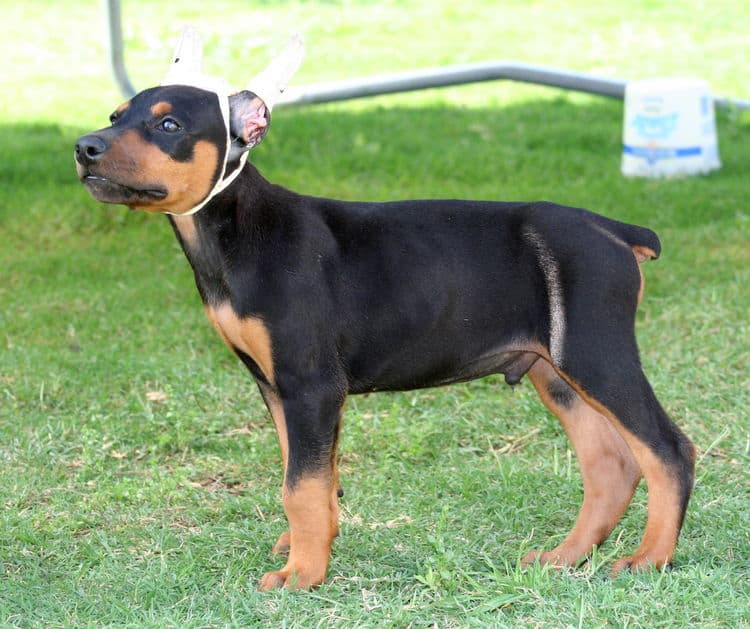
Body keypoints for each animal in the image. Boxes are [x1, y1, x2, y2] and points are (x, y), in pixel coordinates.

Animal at [73, 83, 696, 588]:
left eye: (169, 125)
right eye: (115, 115)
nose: (84, 147)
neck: (231, 231)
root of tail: (612, 229)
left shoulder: (311, 386)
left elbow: (300, 486)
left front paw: (301, 574)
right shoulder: (277, 388)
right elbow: (310, 476)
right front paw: (309, 548)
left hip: (595, 352)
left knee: (667, 450)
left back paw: (650, 559)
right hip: (555, 371)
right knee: (611, 465)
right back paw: (564, 557)